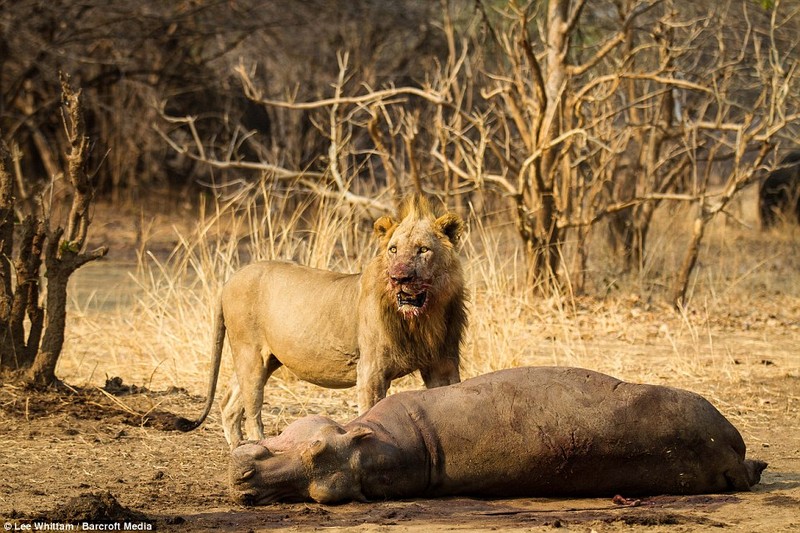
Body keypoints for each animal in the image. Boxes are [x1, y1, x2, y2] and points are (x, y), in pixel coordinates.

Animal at [175, 197, 468, 446]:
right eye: (393, 249)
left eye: (423, 250)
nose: (399, 277)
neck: (423, 319)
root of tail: (230, 280)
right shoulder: (371, 369)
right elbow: (372, 411)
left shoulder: (442, 364)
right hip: (250, 353)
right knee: (252, 411)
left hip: (266, 359)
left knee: (230, 403)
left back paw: (239, 450)